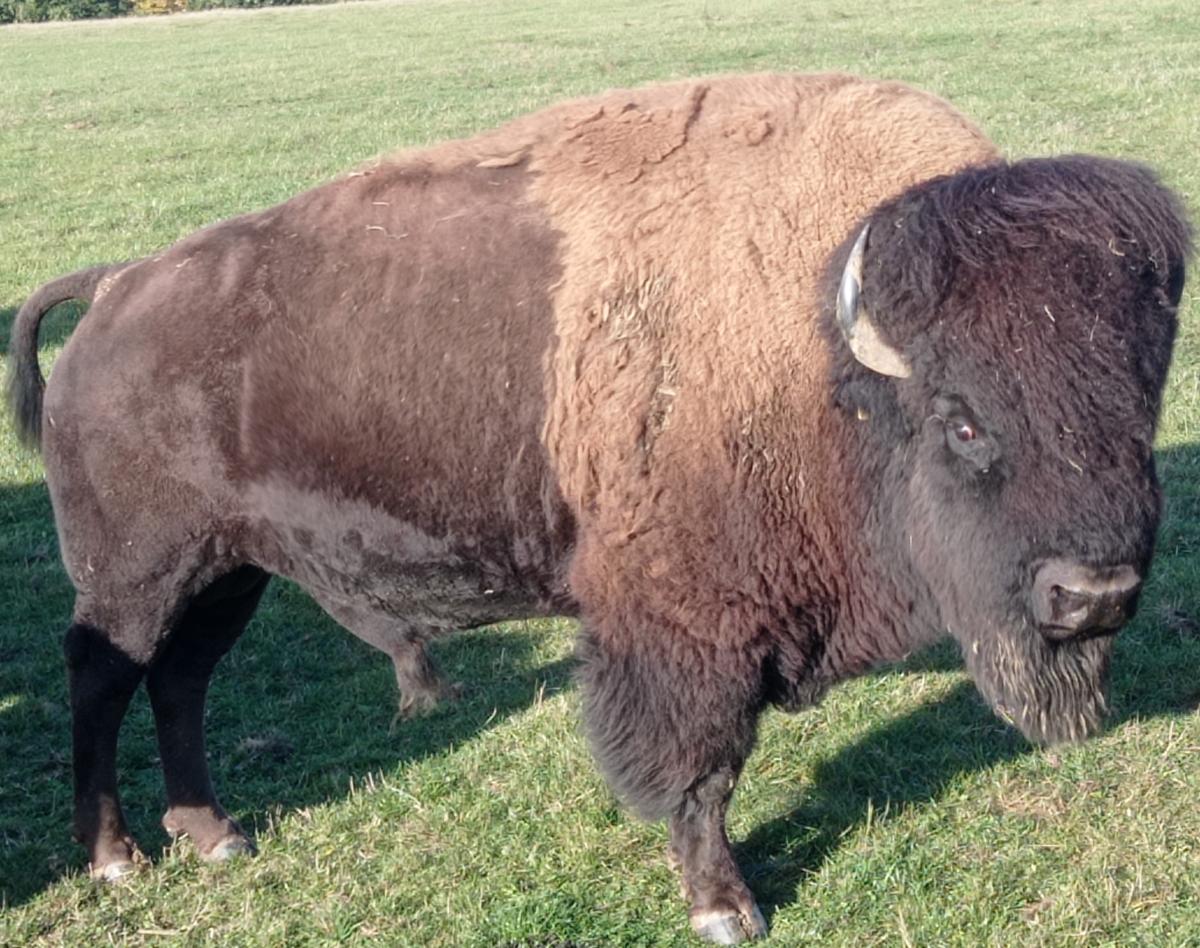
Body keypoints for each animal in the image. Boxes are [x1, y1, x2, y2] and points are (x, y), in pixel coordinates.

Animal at [7, 74, 1190, 940]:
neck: (823, 356)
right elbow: (702, 771)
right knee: (104, 678)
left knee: (181, 682)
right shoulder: (686, 634)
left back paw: (215, 835)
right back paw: (116, 861)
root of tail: (117, 287)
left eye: (1138, 403)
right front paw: (727, 910)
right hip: (138, 574)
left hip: (230, 572)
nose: (1093, 594)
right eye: (964, 420)